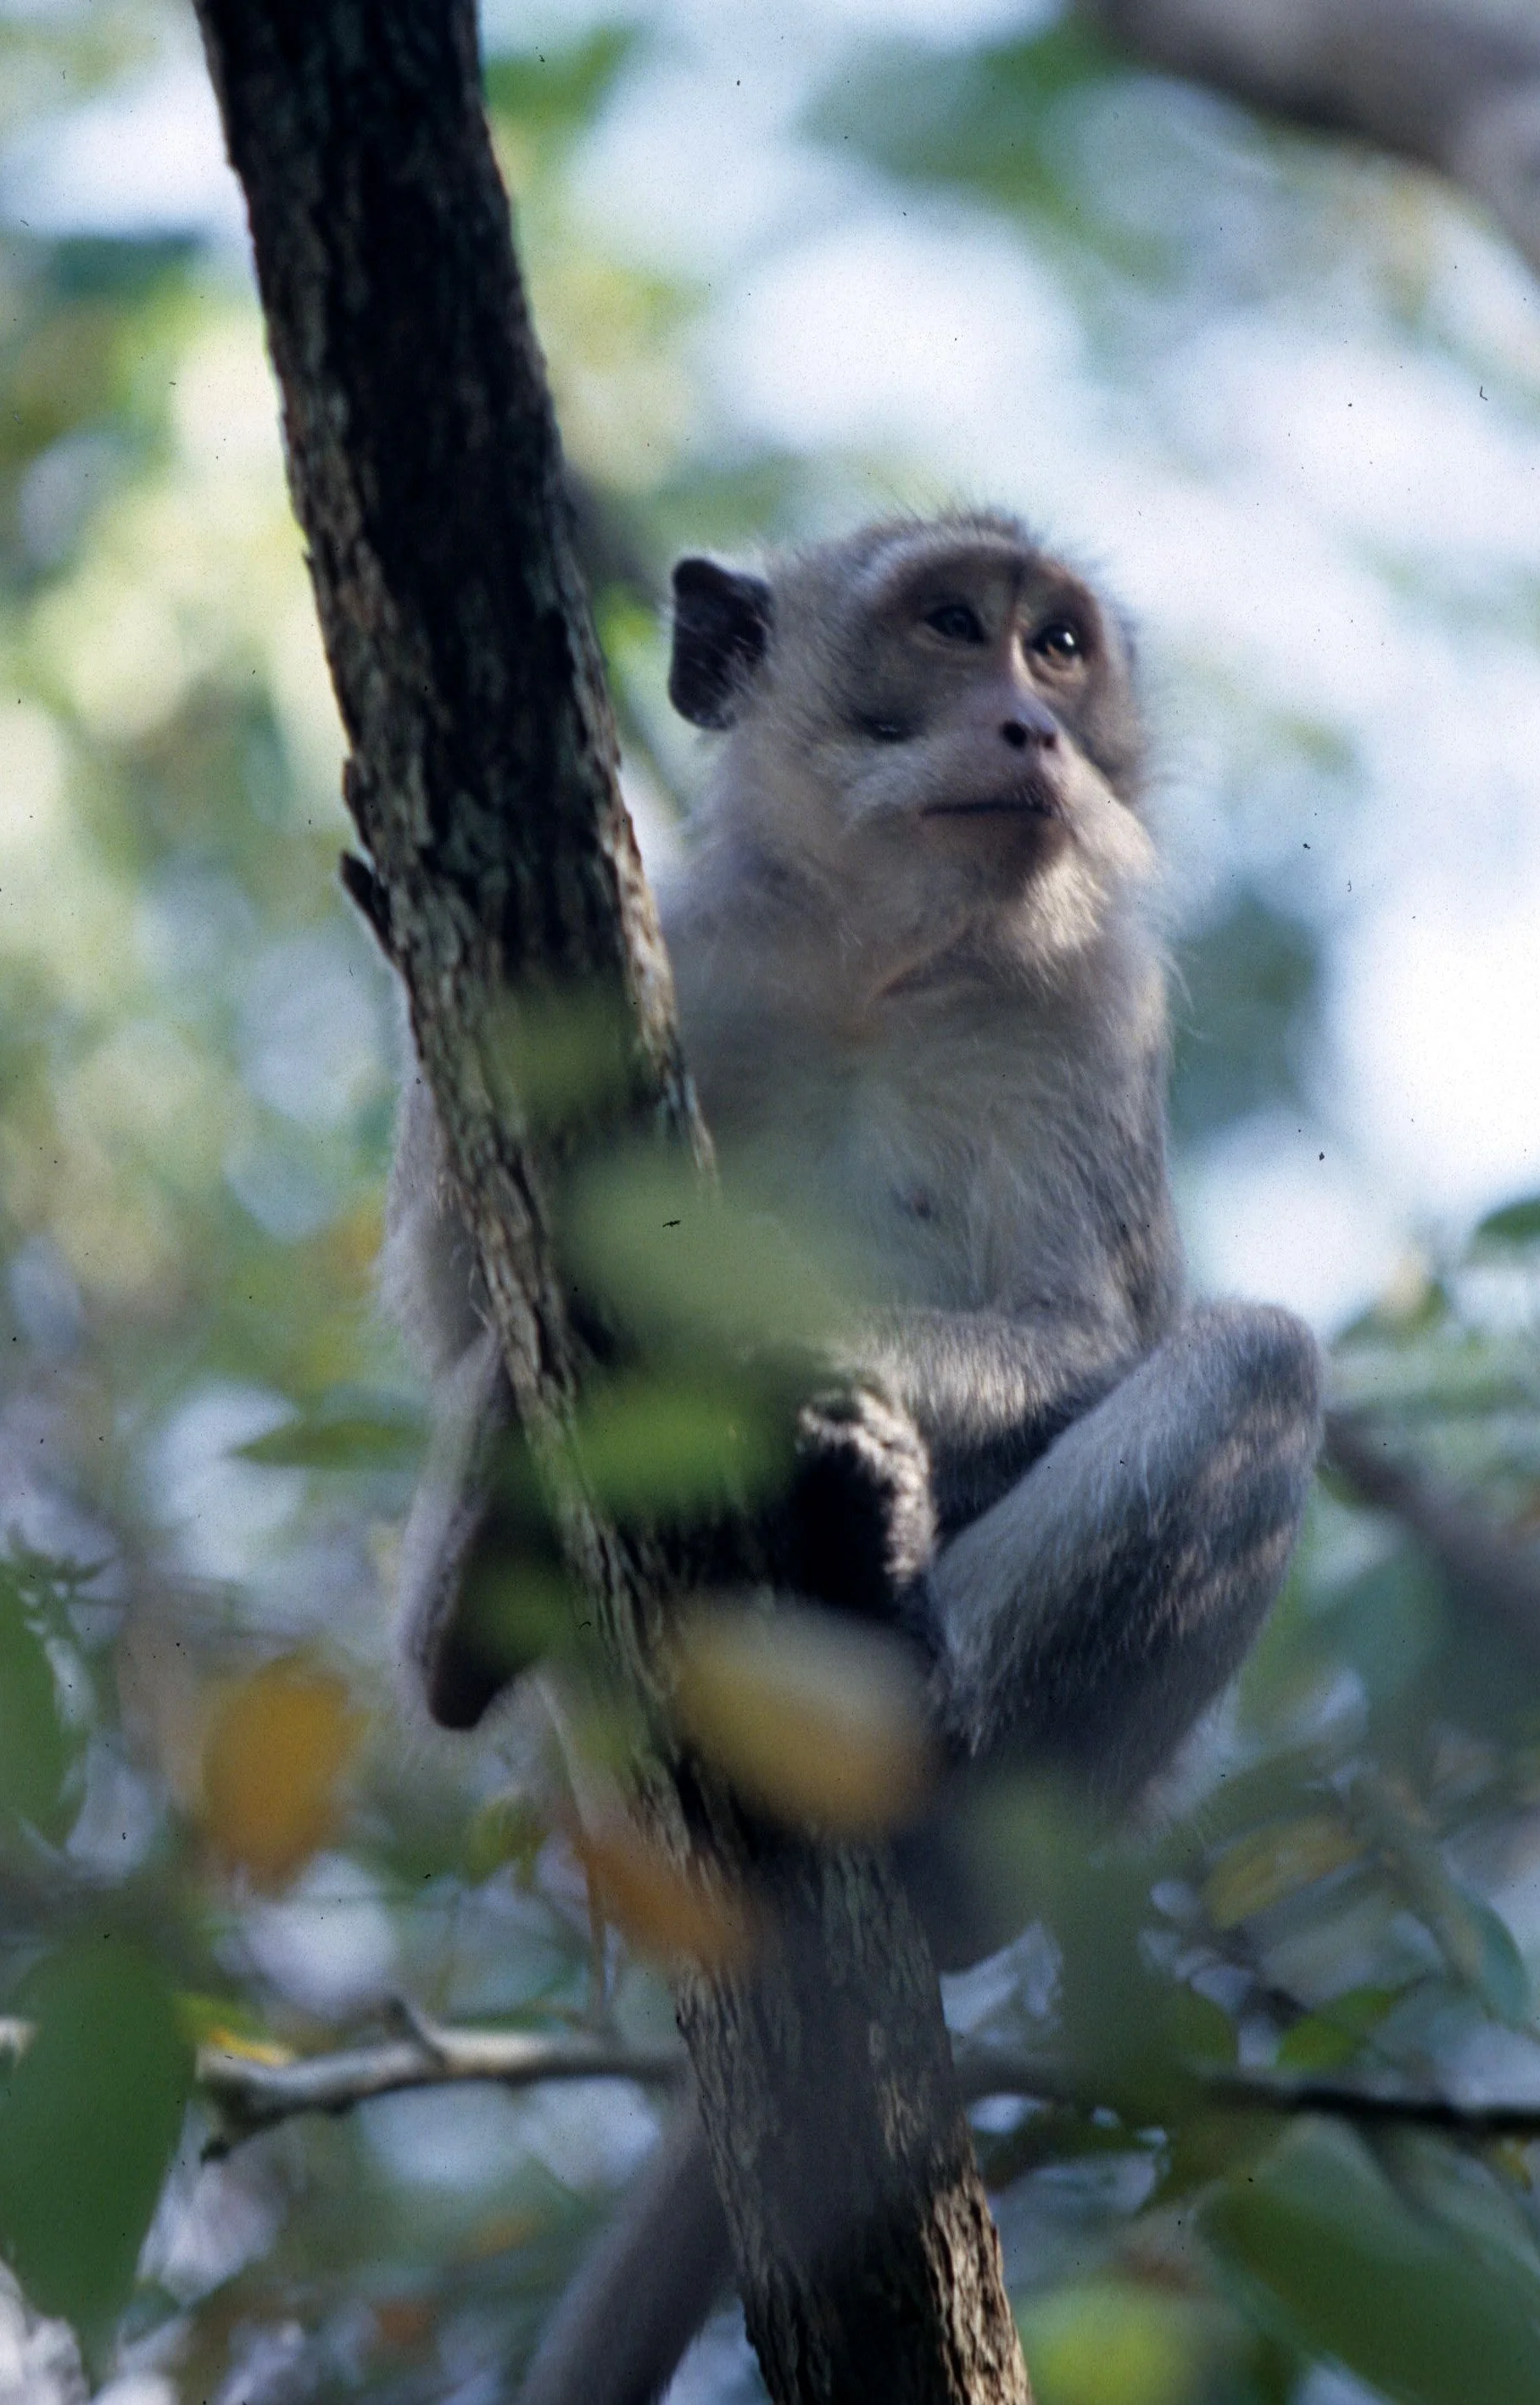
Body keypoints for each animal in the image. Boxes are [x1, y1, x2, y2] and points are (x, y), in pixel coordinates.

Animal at [379, 509, 1323, 2405]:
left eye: (1055, 648)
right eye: (952, 624)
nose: (1029, 726)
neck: (870, 968)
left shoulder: (1087, 1011)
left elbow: (1081, 1330)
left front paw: (813, 1397)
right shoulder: (678, 944)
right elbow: (461, 1289)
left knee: (1253, 1365)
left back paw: (893, 1663)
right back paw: (469, 1610)